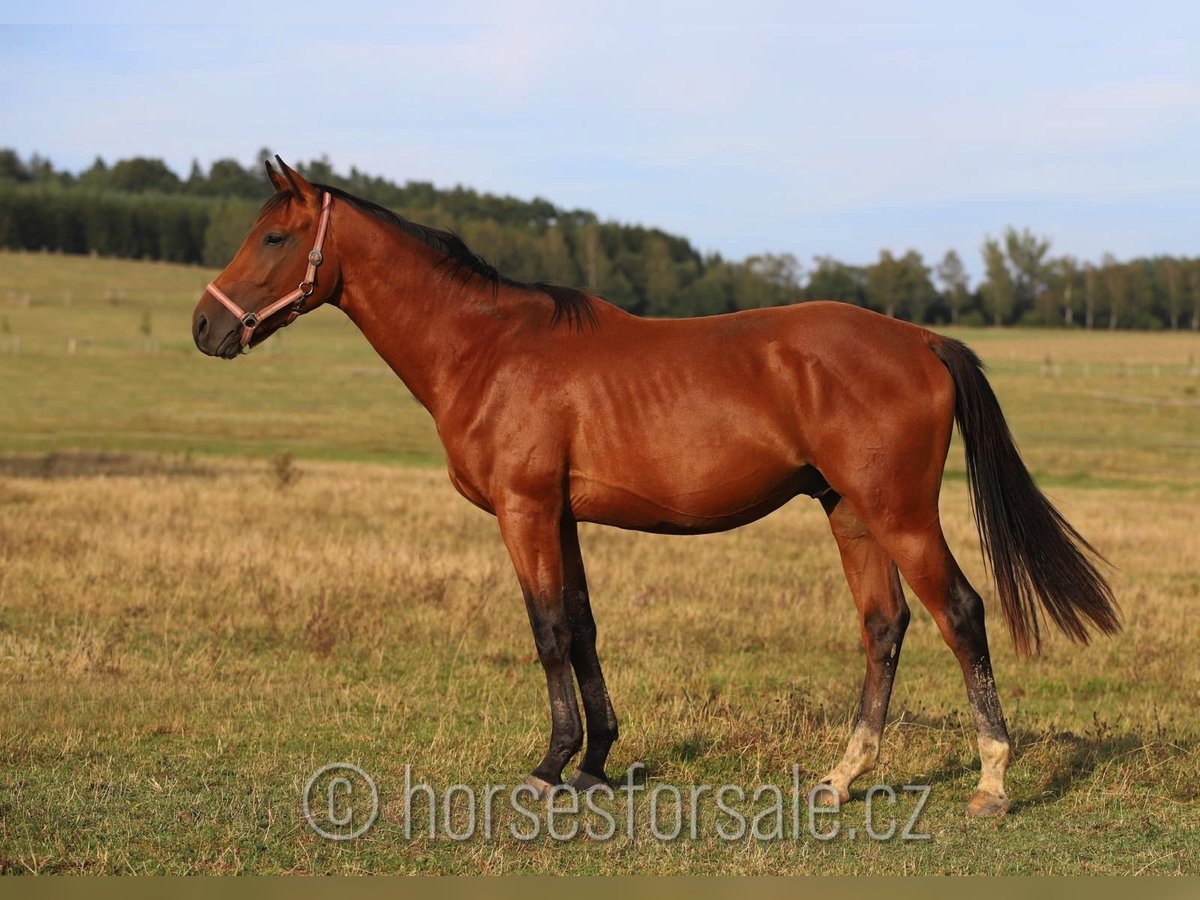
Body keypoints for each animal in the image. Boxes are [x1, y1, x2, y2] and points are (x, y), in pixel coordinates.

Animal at [192, 158, 1118, 820]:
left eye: (274, 238)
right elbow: (583, 627)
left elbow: (547, 631)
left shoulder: (525, 511)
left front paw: (550, 766)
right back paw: (841, 776)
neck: (488, 350)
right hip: (851, 513)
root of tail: (921, 339)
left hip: (899, 513)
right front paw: (598, 762)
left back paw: (991, 784)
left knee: (959, 613)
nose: (204, 326)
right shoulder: (561, 517)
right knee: (884, 626)